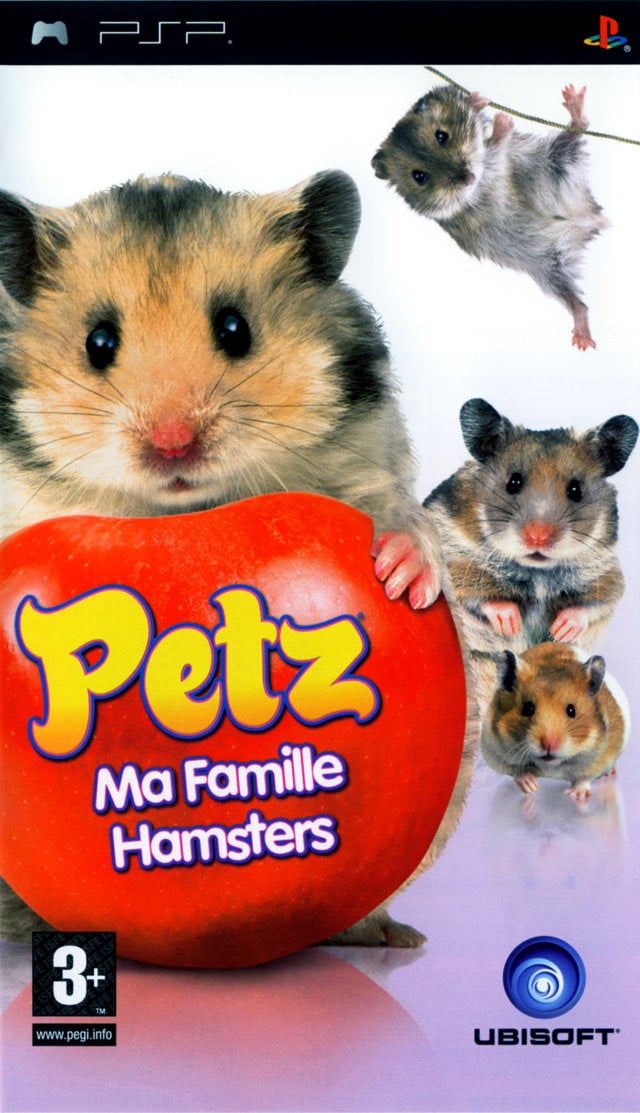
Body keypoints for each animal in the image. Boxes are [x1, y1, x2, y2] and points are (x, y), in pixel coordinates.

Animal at [0, 169, 440, 949]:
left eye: (236, 328)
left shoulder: (375, 466)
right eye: (98, 341)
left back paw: (391, 937)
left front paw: (400, 572)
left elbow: (407, 519)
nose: (173, 445)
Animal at [372, 83, 607, 350]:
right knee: (576, 302)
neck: (479, 179)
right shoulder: (487, 175)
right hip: (550, 269)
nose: (468, 177)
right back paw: (583, 340)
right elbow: (494, 149)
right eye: (419, 177)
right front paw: (503, 121)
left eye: (442, 136)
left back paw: (571, 96)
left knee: (576, 130)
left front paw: (478, 101)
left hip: (555, 158)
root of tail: (586, 218)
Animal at [423, 398, 638, 697]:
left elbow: (593, 605)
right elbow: (480, 597)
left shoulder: (607, 575)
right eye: (513, 482)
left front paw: (561, 630)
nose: (538, 537)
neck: (537, 571)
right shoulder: (456, 563)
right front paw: (511, 624)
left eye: (575, 490)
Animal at [481, 642, 630, 802]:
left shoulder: (602, 756)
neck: (550, 766)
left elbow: (584, 778)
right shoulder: (494, 751)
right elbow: (516, 772)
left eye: (571, 710)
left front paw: (576, 795)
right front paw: (531, 786)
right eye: (528, 708)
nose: (548, 744)